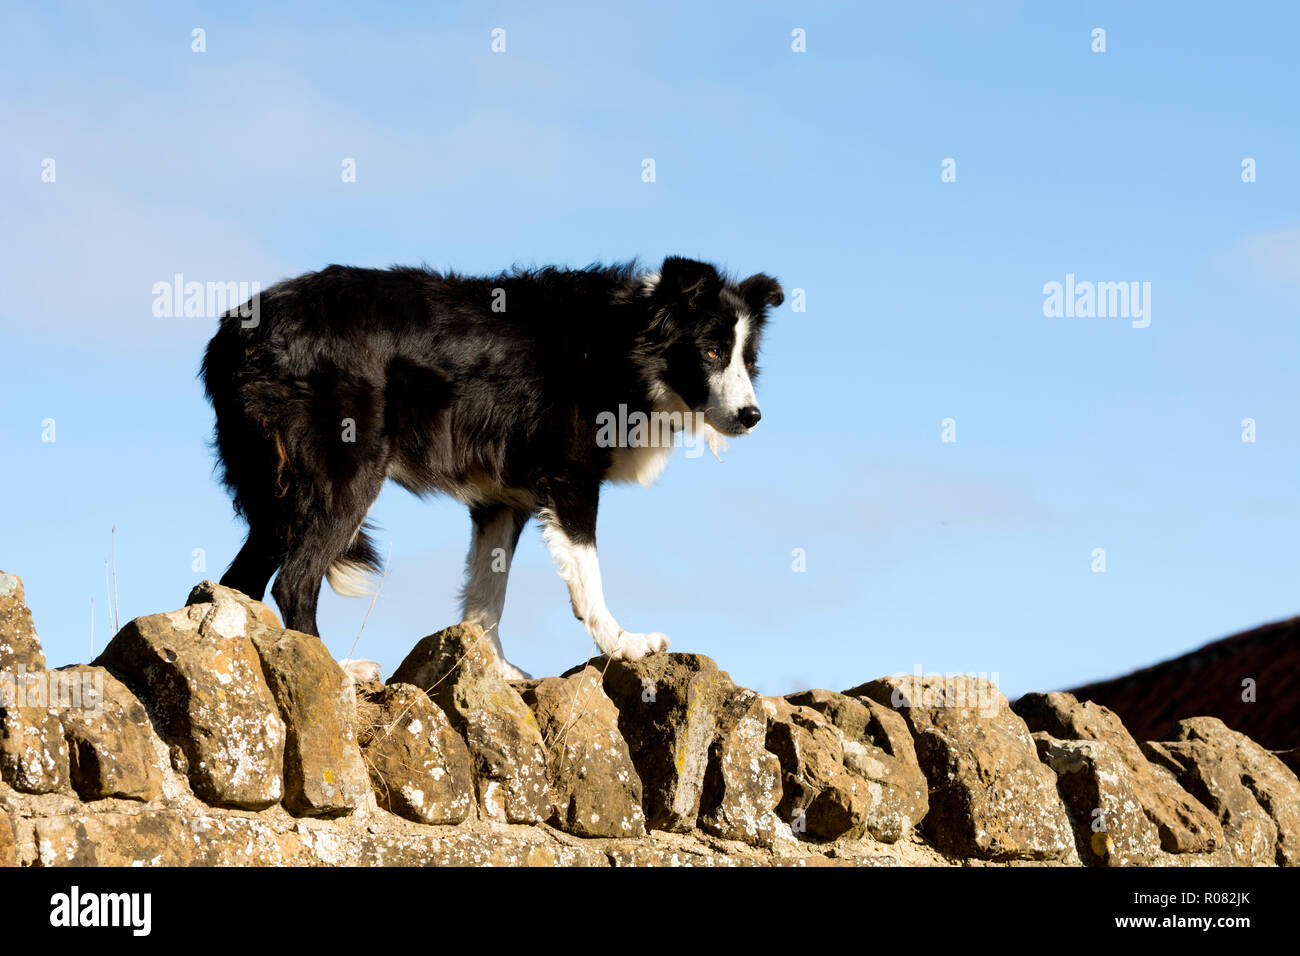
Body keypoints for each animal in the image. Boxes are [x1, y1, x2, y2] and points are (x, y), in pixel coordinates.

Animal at [197, 252, 774, 671]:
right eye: (712, 353)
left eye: (748, 361)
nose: (752, 417)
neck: (628, 343)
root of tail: (240, 328)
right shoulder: (570, 474)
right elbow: (587, 569)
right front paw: (625, 643)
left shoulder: (501, 499)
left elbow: (486, 592)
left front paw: (494, 670)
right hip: (348, 466)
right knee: (295, 578)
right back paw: (338, 670)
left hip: (276, 482)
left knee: (241, 578)